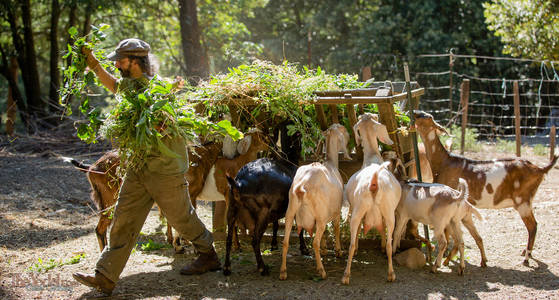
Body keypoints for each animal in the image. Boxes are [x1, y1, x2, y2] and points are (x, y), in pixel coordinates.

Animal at [224, 123, 310, 276]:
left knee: (228, 239)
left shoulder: (276, 209)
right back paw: (262, 268)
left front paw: (274, 244)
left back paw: (227, 268)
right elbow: (299, 228)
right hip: (262, 213)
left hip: (232, 209)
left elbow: (276, 225)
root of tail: (239, 184)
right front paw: (304, 248)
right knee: (254, 240)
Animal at [280, 123, 350, 280]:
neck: (331, 163)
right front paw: (338, 251)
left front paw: (325, 250)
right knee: (315, 242)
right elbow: (336, 229)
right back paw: (321, 270)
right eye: (343, 129)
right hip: (321, 215)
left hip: (291, 211)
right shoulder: (336, 212)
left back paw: (283, 272)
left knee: (285, 241)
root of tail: (301, 186)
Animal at [414, 110, 556, 264]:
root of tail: (540, 169)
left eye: (429, 117)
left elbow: (447, 231)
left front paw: (446, 257)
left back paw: (526, 258)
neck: (444, 161)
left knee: (533, 226)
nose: (415, 113)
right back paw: (526, 252)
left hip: (522, 201)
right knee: (534, 225)